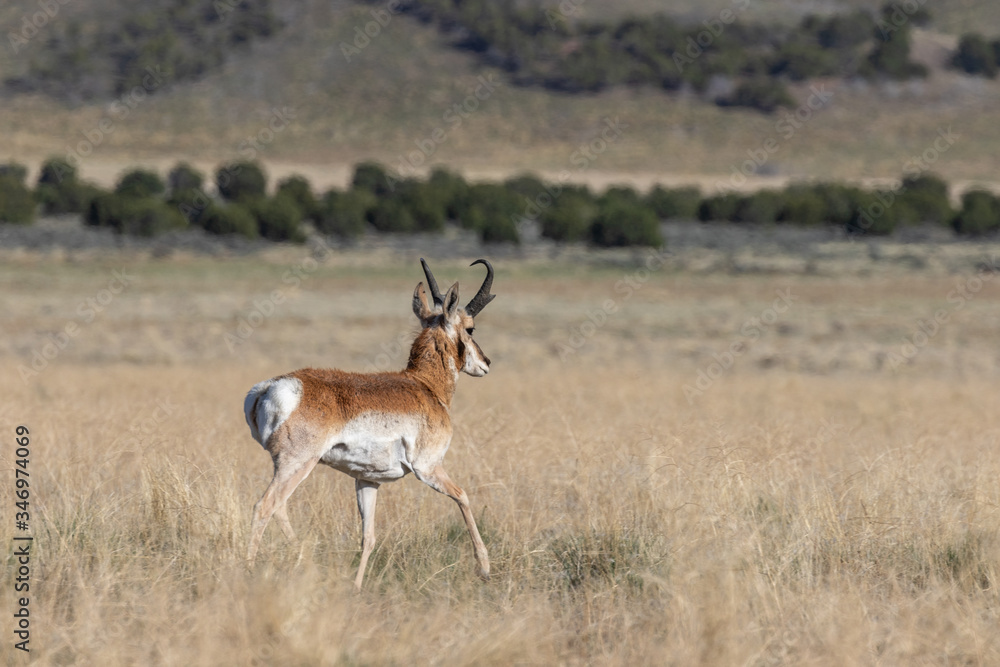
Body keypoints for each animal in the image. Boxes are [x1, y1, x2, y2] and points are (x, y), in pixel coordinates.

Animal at [246, 258, 496, 588]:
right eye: (470, 328)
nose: (486, 363)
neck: (424, 386)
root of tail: (269, 387)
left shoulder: (367, 480)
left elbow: (368, 537)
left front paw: (356, 586)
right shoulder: (429, 468)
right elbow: (464, 497)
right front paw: (485, 567)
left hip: (289, 467)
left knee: (279, 507)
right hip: (297, 464)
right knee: (265, 506)